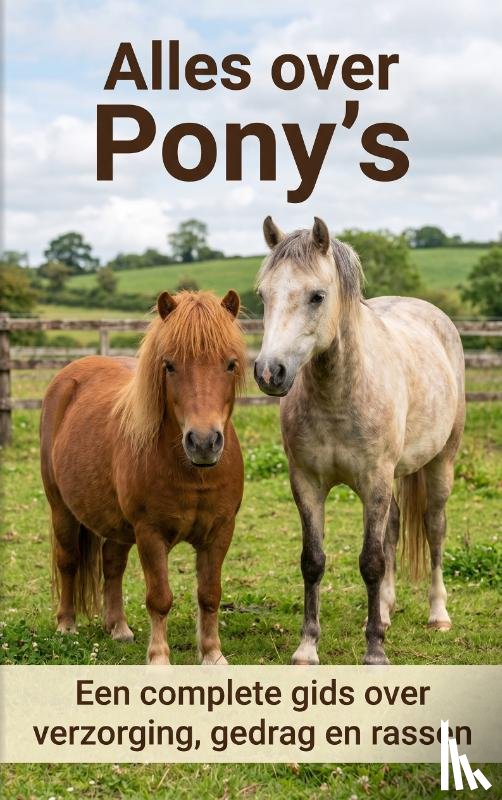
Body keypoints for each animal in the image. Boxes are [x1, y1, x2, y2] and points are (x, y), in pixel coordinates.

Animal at [40, 289, 246, 665]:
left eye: (230, 363)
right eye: (169, 365)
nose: (203, 442)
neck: (192, 473)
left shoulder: (220, 531)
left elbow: (209, 594)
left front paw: (212, 655)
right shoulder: (150, 533)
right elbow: (159, 598)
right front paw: (159, 658)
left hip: (116, 524)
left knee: (112, 563)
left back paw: (118, 627)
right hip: (61, 508)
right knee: (68, 560)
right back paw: (66, 625)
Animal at [254, 217, 465, 665]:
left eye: (317, 296)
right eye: (263, 295)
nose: (269, 372)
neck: (338, 393)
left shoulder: (374, 481)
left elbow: (371, 561)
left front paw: (374, 654)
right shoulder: (306, 484)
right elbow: (313, 561)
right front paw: (307, 648)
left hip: (440, 465)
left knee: (435, 529)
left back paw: (438, 614)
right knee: (395, 529)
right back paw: (383, 611)